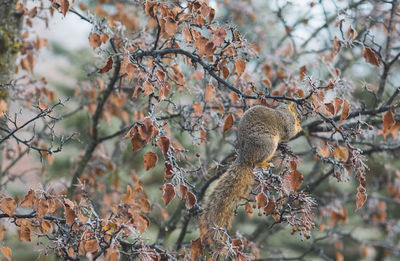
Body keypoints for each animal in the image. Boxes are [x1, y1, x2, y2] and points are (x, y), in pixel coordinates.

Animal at [198, 101, 302, 244]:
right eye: (297, 116)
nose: (300, 121)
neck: (284, 110)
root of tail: (245, 156)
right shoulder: (287, 122)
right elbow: (290, 133)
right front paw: (299, 128)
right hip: (268, 144)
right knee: (258, 161)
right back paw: (265, 163)